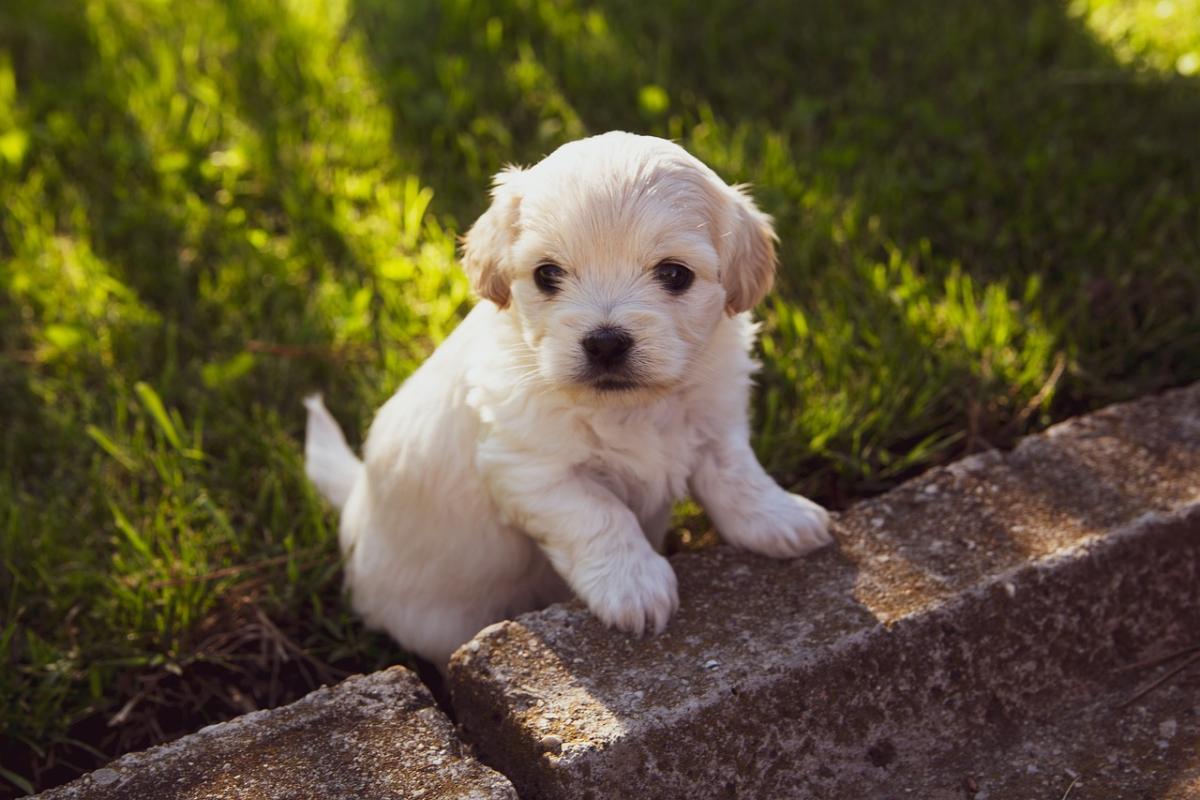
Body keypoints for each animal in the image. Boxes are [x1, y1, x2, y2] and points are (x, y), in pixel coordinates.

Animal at [304, 133, 830, 671]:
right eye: (547, 275)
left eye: (674, 274)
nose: (605, 343)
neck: (631, 406)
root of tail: (355, 506)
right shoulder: (531, 469)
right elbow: (600, 514)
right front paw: (635, 585)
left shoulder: (715, 422)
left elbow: (737, 476)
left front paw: (780, 518)